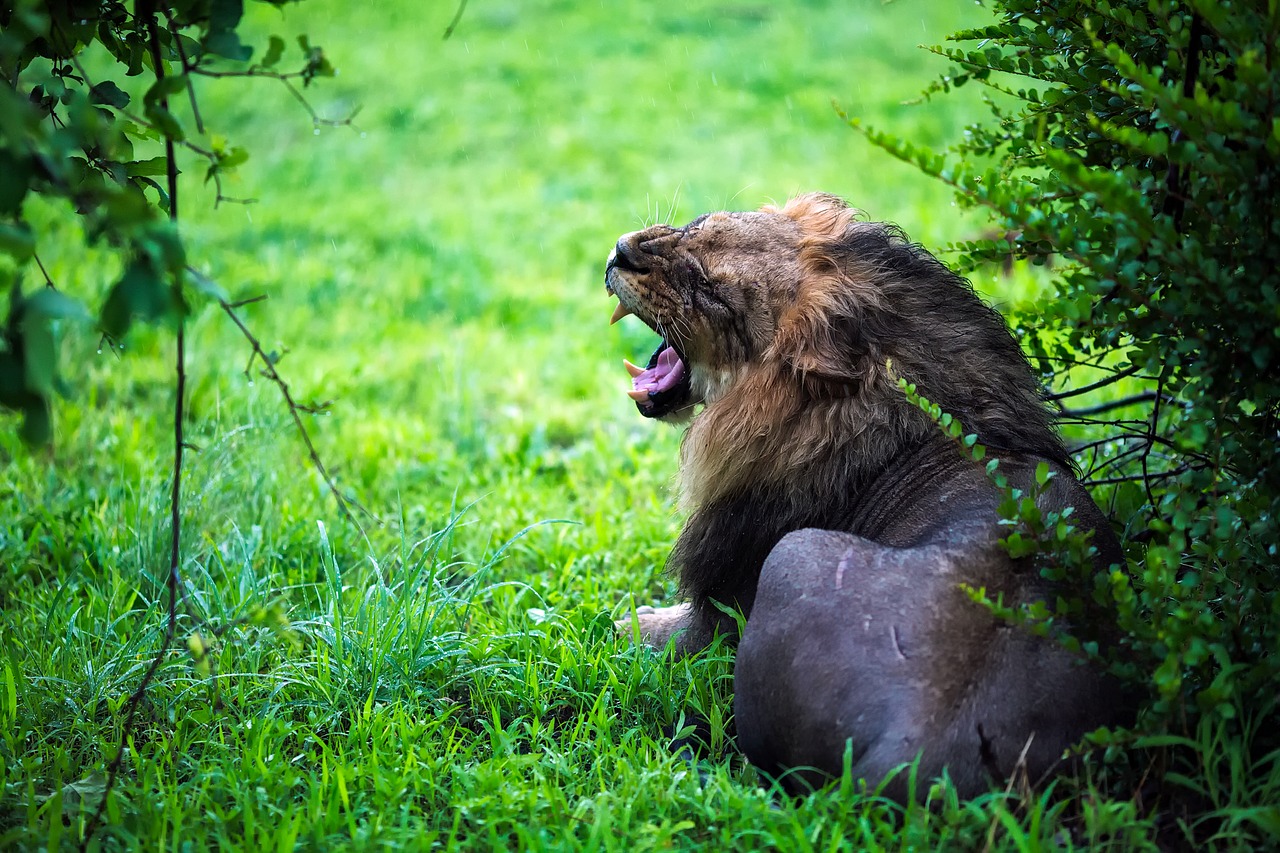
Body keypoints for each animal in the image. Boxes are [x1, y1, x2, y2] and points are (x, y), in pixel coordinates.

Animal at [604, 190, 1136, 799]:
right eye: (695, 225)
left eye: (712, 292)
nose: (620, 252)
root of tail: (915, 755)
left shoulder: (719, 613)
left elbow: (657, 632)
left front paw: (624, 620)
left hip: (795, 553)